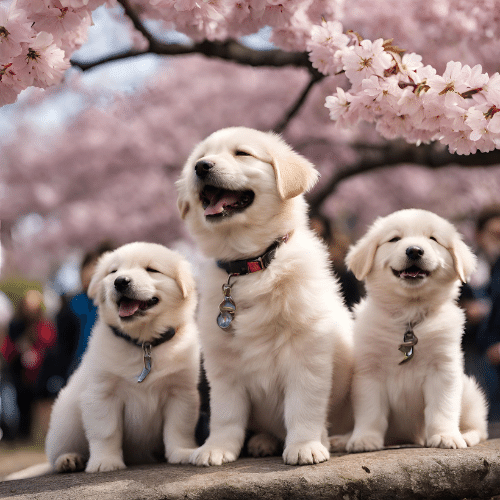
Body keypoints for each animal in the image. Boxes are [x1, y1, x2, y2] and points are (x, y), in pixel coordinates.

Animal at [43, 242, 199, 472]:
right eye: (113, 272)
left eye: (152, 269)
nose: (120, 281)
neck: (144, 343)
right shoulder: (101, 394)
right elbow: (106, 432)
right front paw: (104, 462)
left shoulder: (181, 392)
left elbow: (179, 428)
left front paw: (182, 452)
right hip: (66, 422)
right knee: (58, 452)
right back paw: (68, 459)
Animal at [175, 127, 352, 466]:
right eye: (199, 158)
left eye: (242, 153)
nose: (201, 167)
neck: (250, 265)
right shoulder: (223, 364)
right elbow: (226, 414)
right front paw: (217, 448)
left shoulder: (307, 354)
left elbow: (303, 408)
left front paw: (305, 446)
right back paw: (262, 441)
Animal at [344, 209, 488, 452]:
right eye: (394, 239)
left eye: (433, 239)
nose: (414, 250)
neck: (409, 317)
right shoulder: (368, 371)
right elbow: (370, 411)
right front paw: (365, 439)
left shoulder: (444, 368)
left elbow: (442, 407)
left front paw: (445, 436)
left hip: (469, 392)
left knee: (480, 428)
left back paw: (465, 436)